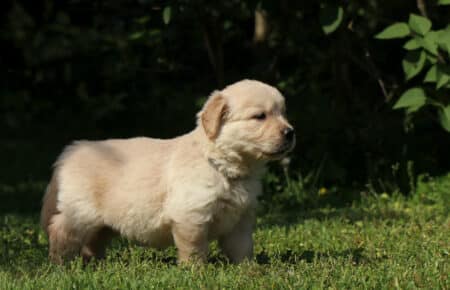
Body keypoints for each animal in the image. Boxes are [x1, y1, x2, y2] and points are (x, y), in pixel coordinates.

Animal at [40, 80, 296, 266]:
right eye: (260, 116)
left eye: (284, 113)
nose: (290, 132)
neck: (222, 164)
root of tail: (71, 151)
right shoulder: (191, 214)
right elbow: (194, 248)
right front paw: (196, 271)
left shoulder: (241, 218)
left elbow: (243, 248)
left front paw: (249, 270)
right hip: (79, 211)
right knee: (60, 229)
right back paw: (61, 265)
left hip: (103, 222)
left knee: (93, 241)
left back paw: (96, 264)